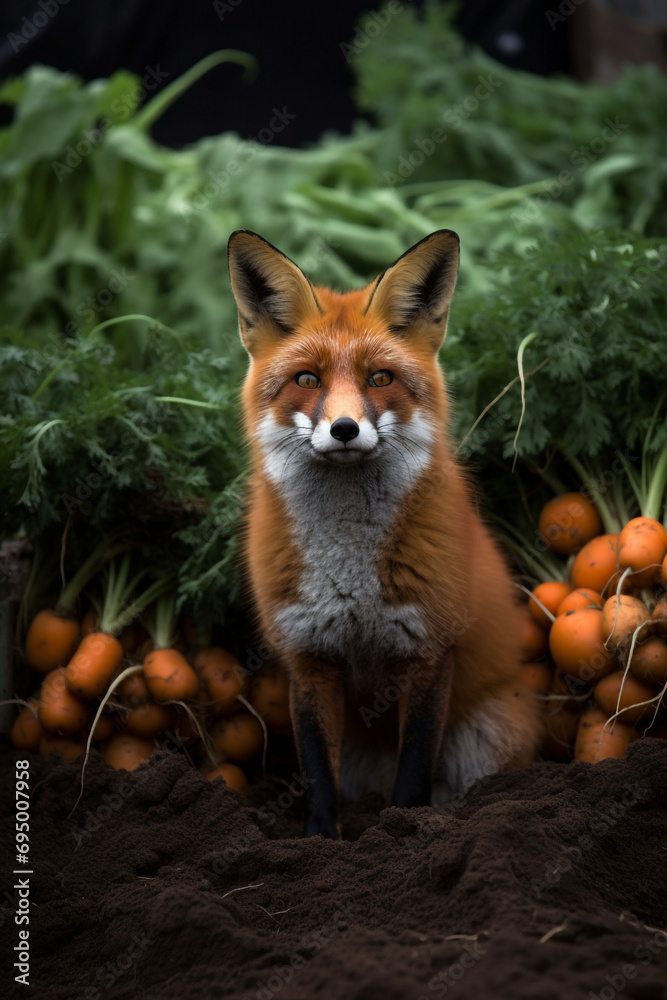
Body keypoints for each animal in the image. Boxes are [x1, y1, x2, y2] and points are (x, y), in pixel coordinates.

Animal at [227, 228, 541, 839]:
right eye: (307, 380)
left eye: (380, 378)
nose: (345, 428)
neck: (349, 571)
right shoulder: (308, 655)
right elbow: (317, 773)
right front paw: (320, 841)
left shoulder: (426, 651)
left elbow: (414, 767)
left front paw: (405, 830)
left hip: (486, 736)